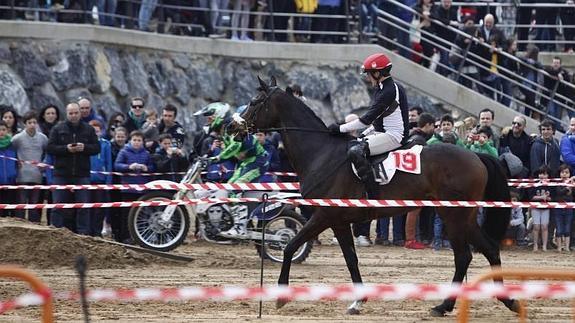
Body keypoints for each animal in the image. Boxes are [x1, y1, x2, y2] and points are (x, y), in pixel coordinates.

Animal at [241, 77, 520, 318]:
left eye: (255, 101)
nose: (235, 125)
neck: (322, 153)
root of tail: (476, 156)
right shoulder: (339, 221)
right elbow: (351, 259)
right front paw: (357, 301)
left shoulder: (324, 215)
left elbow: (289, 246)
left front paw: (281, 296)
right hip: (465, 217)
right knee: (489, 249)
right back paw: (506, 300)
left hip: (453, 215)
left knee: (463, 257)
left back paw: (444, 305)